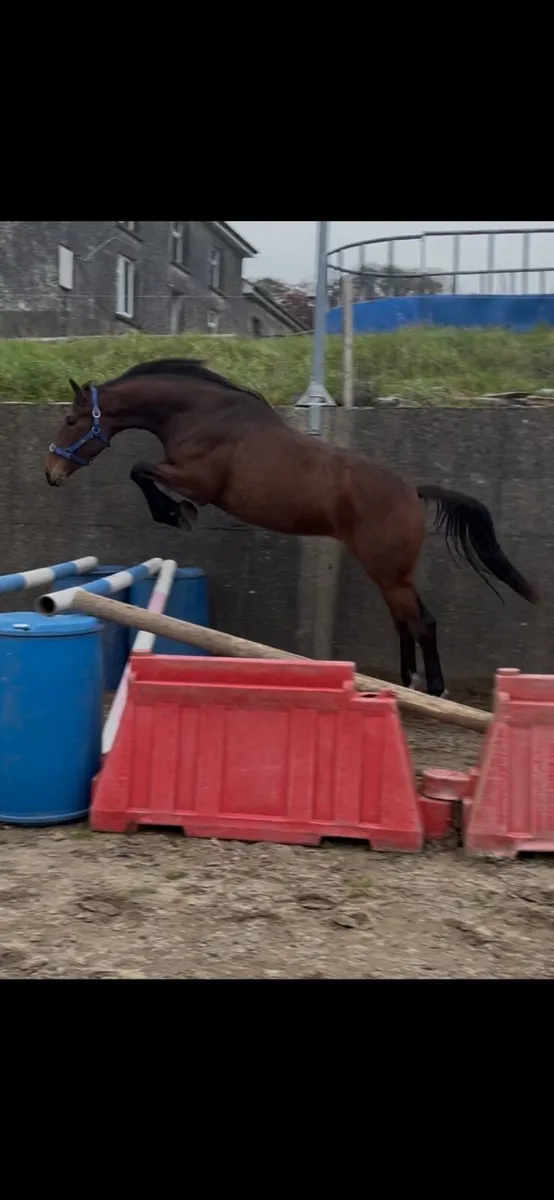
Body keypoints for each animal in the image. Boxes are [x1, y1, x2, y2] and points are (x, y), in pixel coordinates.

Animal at [44, 357, 540, 697]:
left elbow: (140, 470)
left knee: (423, 622)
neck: (202, 415)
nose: (51, 474)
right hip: (387, 573)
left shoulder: (197, 482)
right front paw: (174, 513)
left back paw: (434, 689)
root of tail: (412, 491)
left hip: (389, 572)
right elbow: (141, 471)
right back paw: (405, 684)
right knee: (405, 622)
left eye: (70, 420)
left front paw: (175, 513)